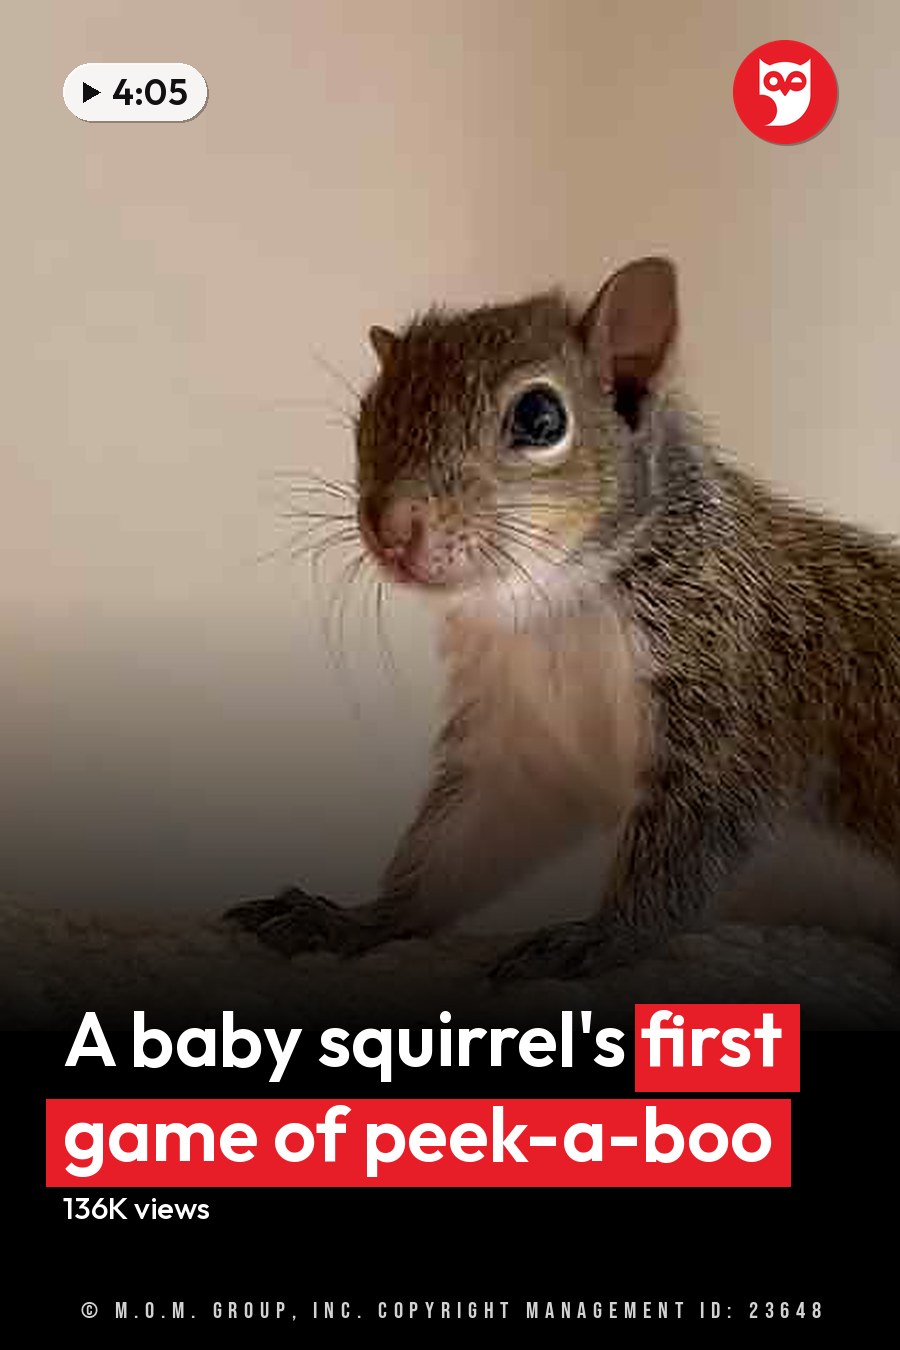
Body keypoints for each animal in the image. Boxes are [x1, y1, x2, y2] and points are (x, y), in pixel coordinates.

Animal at [229, 256, 900, 979]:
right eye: (367, 413)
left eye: (540, 416)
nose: (390, 529)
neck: (557, 607)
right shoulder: (520, 743)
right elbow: (458, 846)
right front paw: (355, 920)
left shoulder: (733, 687)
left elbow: (690, 841)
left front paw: (602, 936)